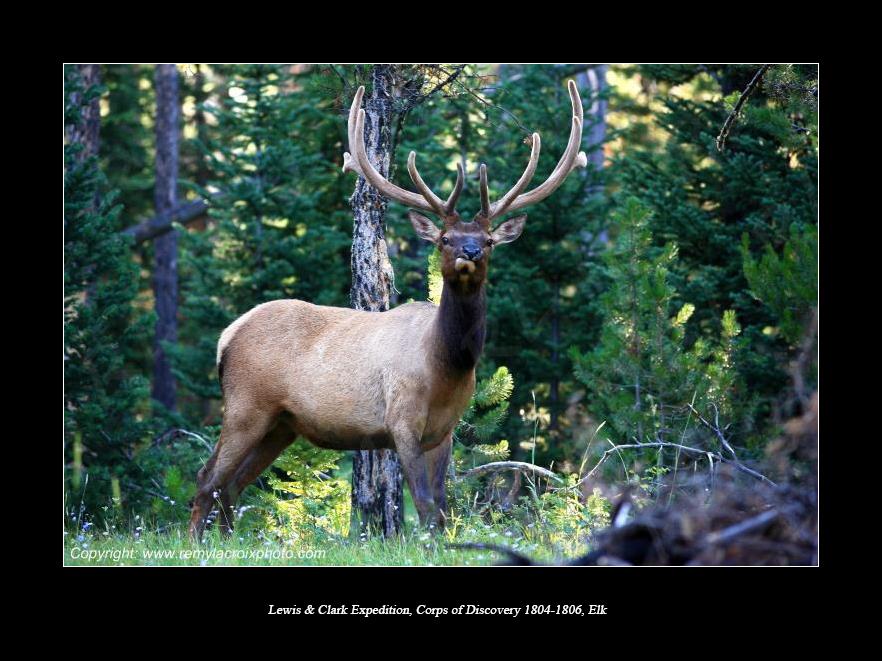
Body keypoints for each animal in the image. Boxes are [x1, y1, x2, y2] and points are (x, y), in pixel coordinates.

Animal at [189, 80, 587, 541]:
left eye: (488, 241)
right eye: (445, 238)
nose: (469, 251)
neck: (447, 364)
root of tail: (228, 335)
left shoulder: (444, 431)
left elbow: (442, 509)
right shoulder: (402, 419)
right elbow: (427, 509)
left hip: (281, 424)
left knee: (231, 486)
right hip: (245, 405)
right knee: (207, 479)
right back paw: (196, 542)